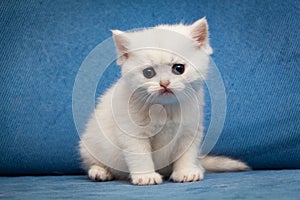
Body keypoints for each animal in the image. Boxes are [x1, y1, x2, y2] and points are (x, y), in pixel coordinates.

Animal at [78, 17, 250, 186]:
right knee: (94, 162)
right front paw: (146, 176)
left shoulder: (190, 130)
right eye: (148, 73)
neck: (165, 109)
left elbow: (187, 153)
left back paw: (198, 167)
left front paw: (186, 171)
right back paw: (100, 172)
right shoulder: (132, 132)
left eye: (179, 68)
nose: (164, 83)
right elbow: (140, 155)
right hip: (90, 144)